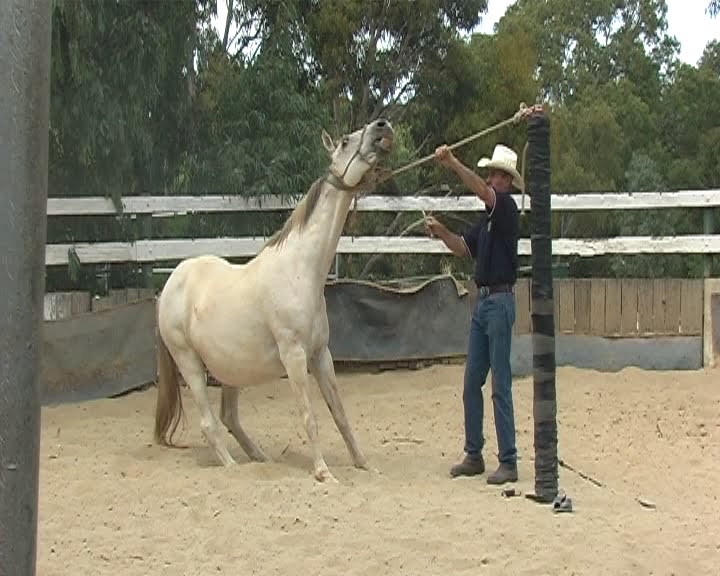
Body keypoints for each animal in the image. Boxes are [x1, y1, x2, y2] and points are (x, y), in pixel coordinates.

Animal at [154, 117, 396, 482]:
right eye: (344, 141)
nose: (382, 126)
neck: (300, 271)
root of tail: (170, 284)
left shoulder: (321, 355)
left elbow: (339, 413)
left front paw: (364, 464)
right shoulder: (294, 356)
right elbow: (309, 416)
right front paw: (324, 473)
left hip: (231, 369)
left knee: (229, 418)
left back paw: (260, 458)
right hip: (190, 363)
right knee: (209, 423)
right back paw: (233, 466)